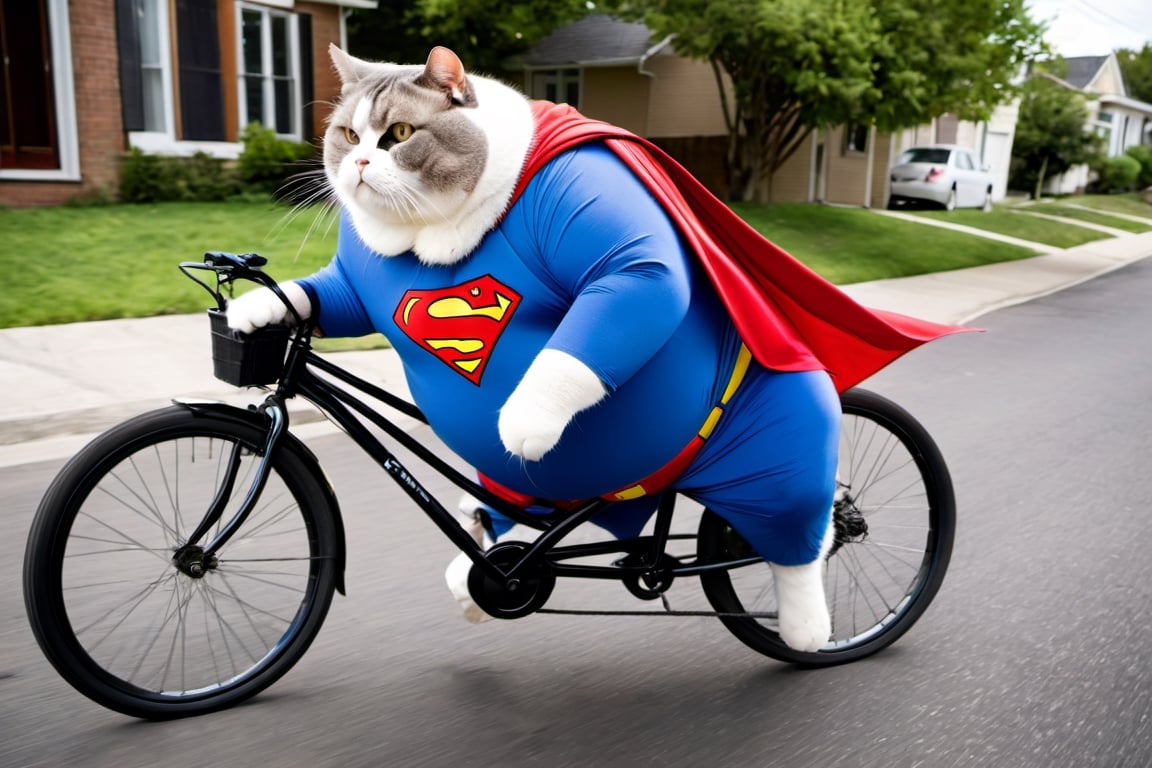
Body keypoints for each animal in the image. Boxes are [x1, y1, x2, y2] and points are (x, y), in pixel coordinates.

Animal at [229, 45, 843, 654]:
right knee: (512, 509)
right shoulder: (352, 283)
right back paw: (477, 575)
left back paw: (808, 629)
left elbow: (638, 278)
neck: (431, 228)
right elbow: (335, 298)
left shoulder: (597, 217)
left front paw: (528, 418)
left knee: (803, 531)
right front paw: (256, 309)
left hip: (776, 447)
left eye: (399, 133)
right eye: (349, 136)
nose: (357, 164)